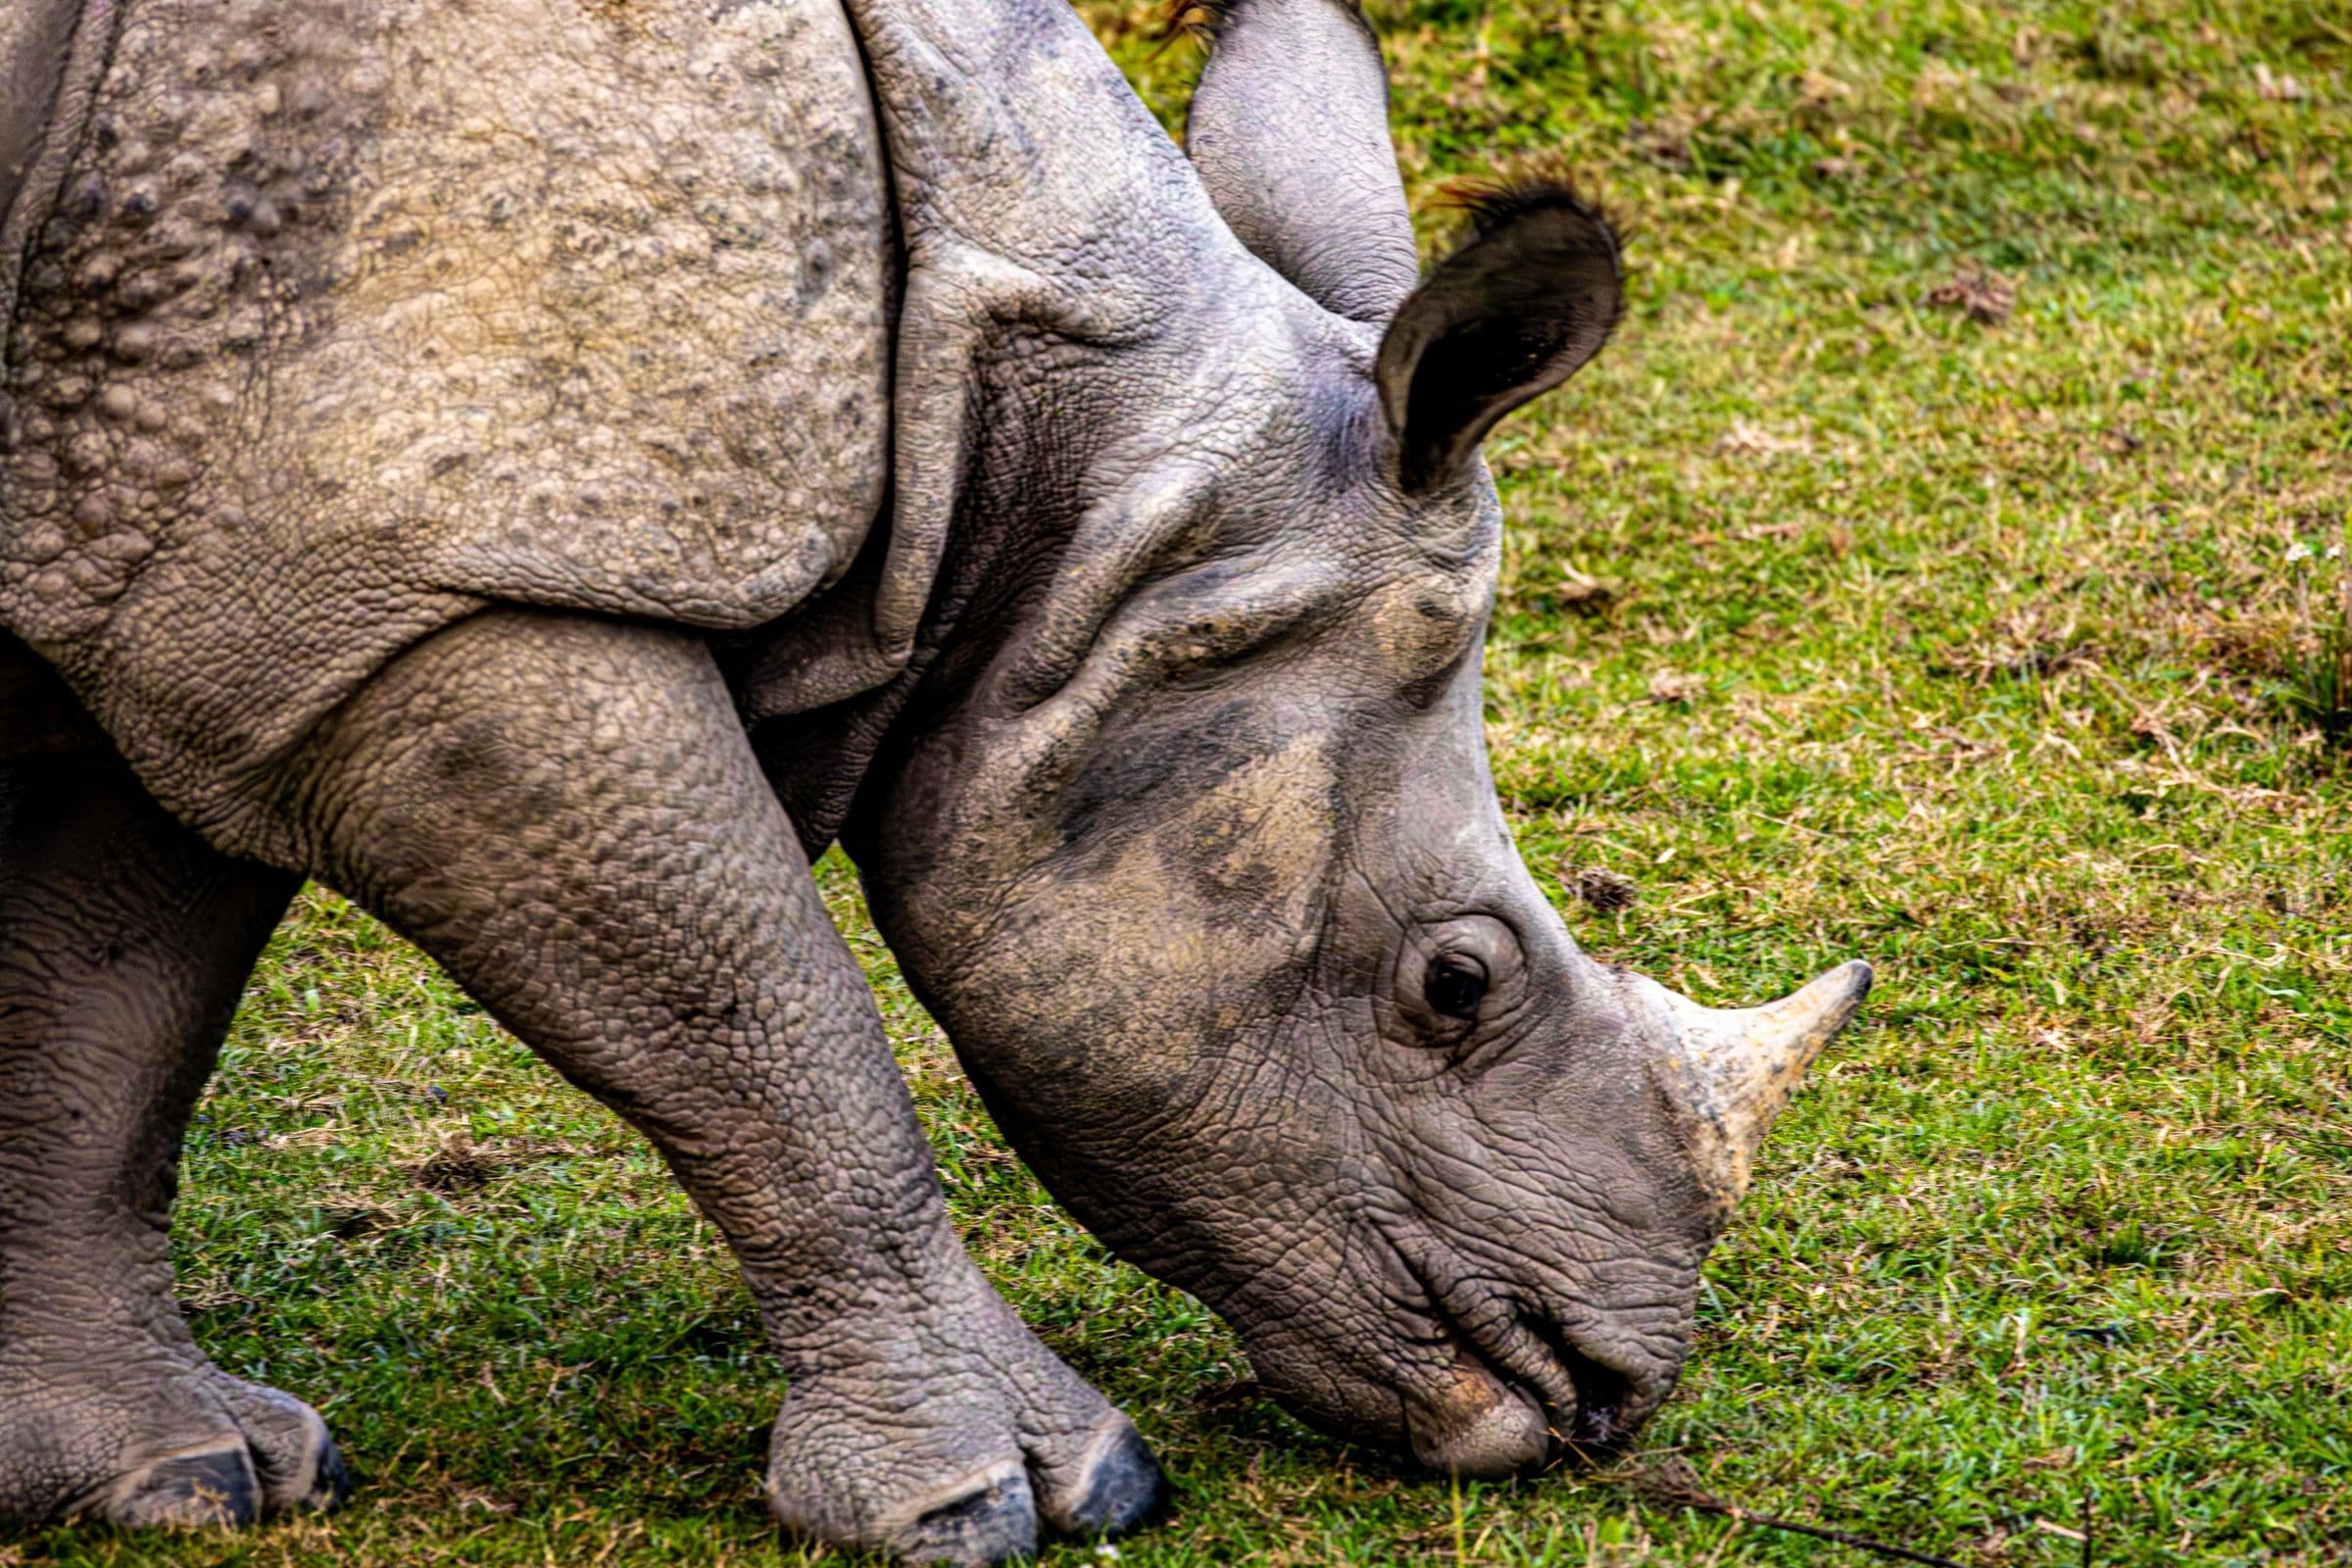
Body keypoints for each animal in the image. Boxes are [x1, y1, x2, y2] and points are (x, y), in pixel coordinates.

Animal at [0, 0, 1872, 1559]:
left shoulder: (216, 559)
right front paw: (1023, 1500)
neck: (1051, 474)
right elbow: (767, 1015)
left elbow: (106, 1022)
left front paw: (177, 1478)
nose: (1610, 1396)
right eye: (1456, 983)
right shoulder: (430, 578)